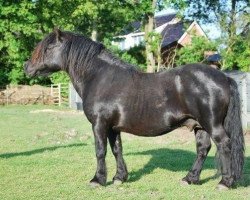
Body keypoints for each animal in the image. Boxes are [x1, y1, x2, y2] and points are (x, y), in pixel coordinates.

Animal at [23, 28, 244, 190]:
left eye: (48, 48)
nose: (27, 67)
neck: (99, 77)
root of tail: (224, 77)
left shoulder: (99, 124)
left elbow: (100, 151)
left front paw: (97, 180)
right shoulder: (113, 128)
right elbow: (116, 150)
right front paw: (119, 177)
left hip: (212, 124)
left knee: (224, 144)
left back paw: (225, 182)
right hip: (199, 125)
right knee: (203, 149)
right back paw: (190, 178)